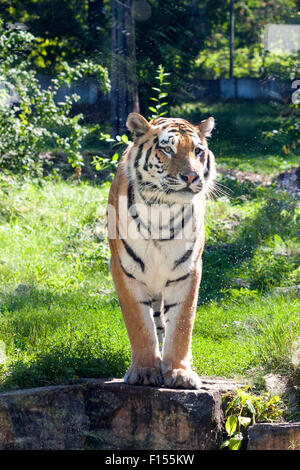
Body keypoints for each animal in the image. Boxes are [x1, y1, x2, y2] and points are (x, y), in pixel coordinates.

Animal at [108, 111, 216, 390]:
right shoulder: (125, 270)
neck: (162, 211)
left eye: (198, 151)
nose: (191, 177)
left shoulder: (187, 271)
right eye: (167, 149)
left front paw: (179, 373)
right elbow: (140, 325)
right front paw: (145, 371)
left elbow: (182, 325)